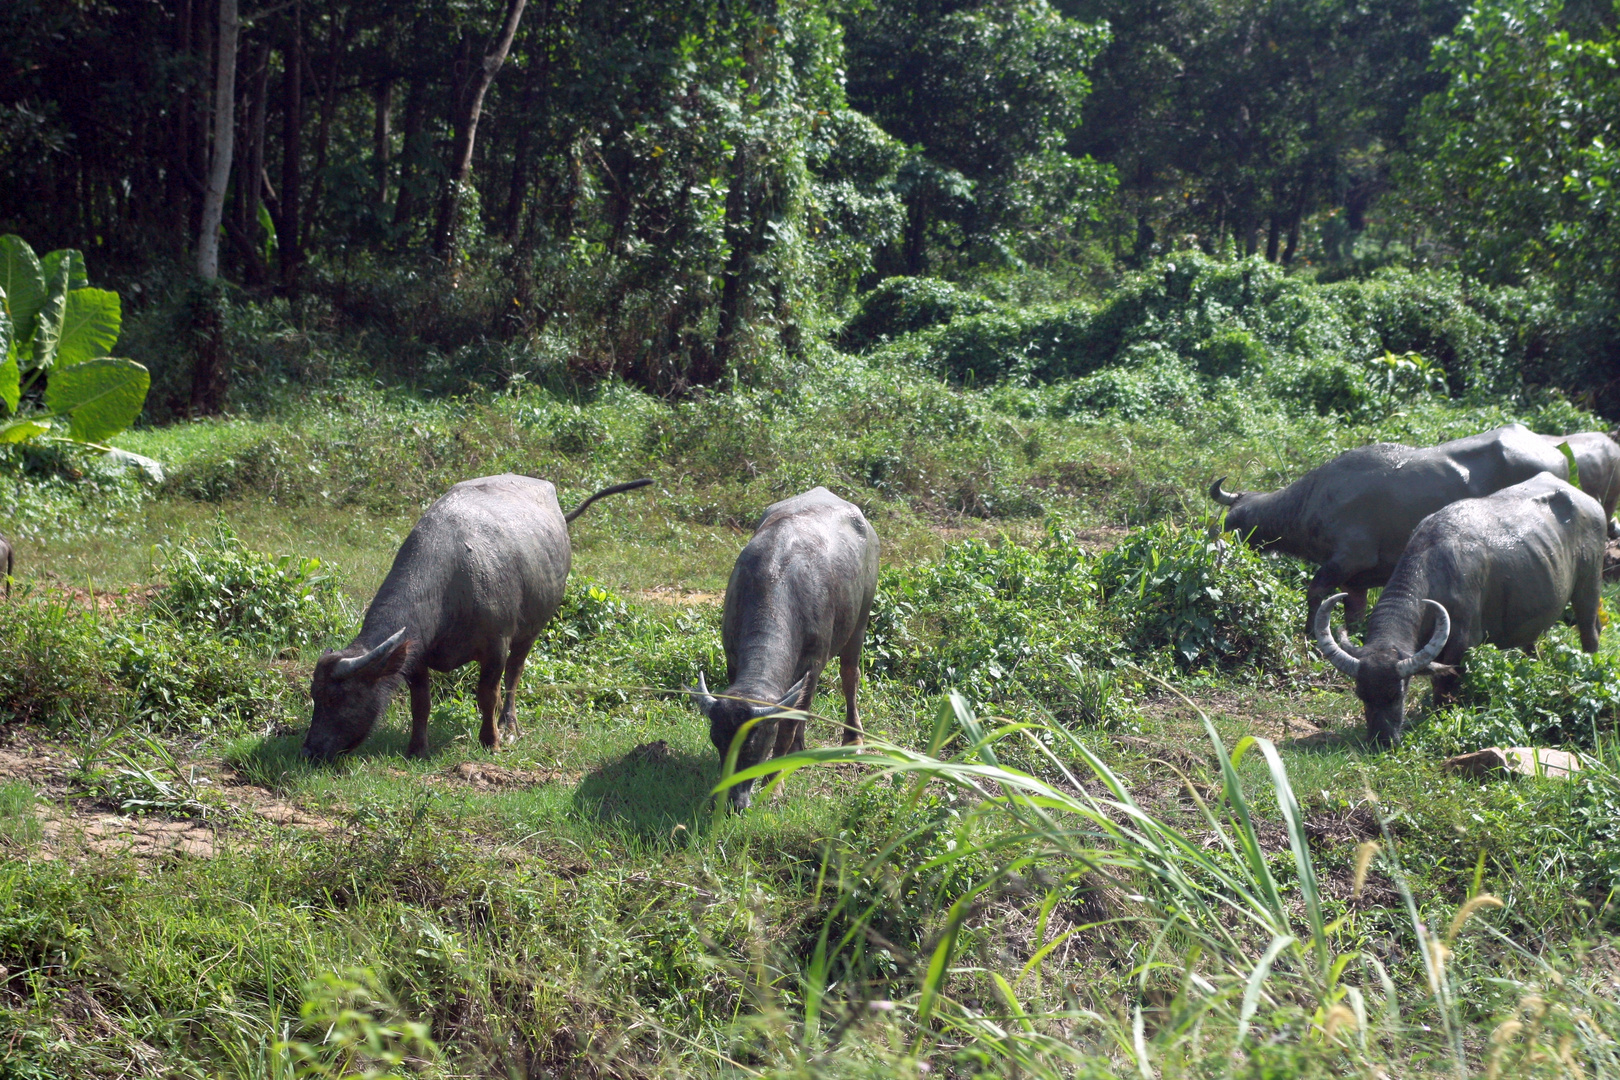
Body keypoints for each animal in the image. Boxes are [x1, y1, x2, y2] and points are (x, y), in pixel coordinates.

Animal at [304, 476, 651, 764]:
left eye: (339, 697)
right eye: (314, 695)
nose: (311, 750)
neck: (450, 588)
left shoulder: (496, 646)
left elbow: (488, 695)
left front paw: (491, 741)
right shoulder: (416, 657)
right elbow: (421, 704)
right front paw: (417, 749)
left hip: (530, 631)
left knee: (514, 675)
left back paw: (509, 725)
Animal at [690, 485, 881, 806]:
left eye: (753, 744)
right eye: (717, 740)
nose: (732, 802)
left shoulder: (813, 664)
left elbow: (787, 727)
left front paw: (775, 784)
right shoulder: (732, 658)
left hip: (860, 620)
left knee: (849, 676)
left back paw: (853, 737)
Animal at [1211, 424, 1574, 634]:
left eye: (1231, 523)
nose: (1215, 544)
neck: (1314, 498)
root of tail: (1557, 457)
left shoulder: (1349, 558)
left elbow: (1315, 592)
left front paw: (1309, 633)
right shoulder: (1356, 582)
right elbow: (1352, 613)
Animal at [1315, 476, 1607, 748]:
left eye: (1398, 693)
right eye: (1361, 695)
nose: (1382, 741)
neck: (1434, 569)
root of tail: (1590, 502)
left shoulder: (1462, 644)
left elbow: (1444, 687)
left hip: (1590, 584)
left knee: (1590, 632)